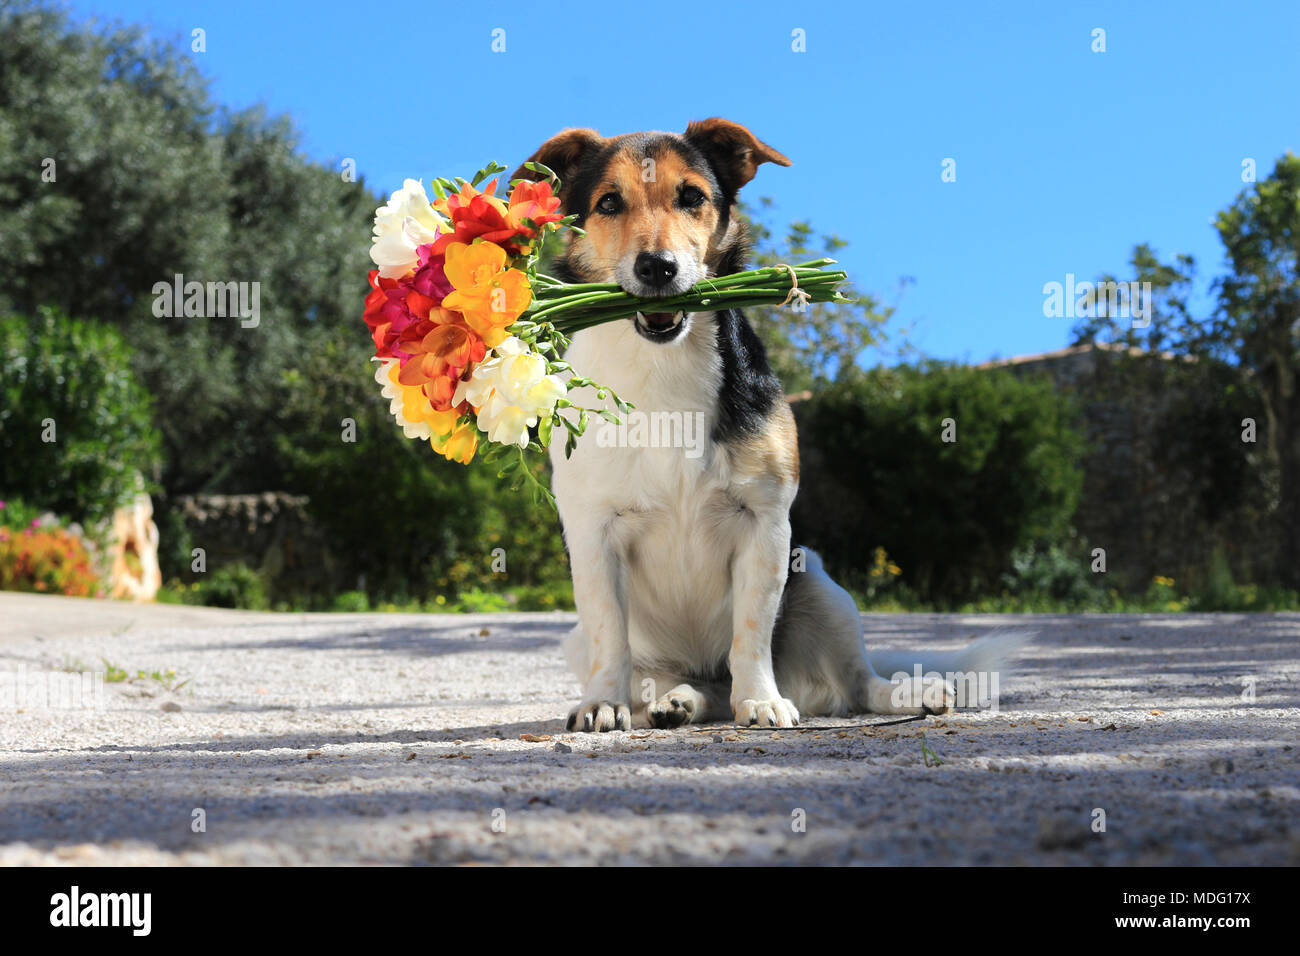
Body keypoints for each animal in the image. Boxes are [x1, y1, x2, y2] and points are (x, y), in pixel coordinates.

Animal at [506, 119, 1024, 733]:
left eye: (692, 197)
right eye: (609, 202)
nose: (657, 266)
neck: (662, 365)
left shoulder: (767, 524)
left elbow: (750, 634)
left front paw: (761, 699)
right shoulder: (593, 533)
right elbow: (611, 634)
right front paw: (602, 702)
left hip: (822, 585)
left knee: (854, 681)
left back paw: (909, 693)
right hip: (583, 642)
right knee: (678, 681)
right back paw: (677, 701)